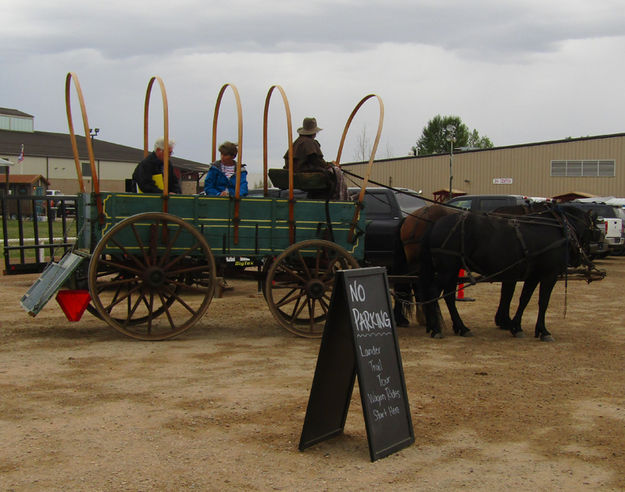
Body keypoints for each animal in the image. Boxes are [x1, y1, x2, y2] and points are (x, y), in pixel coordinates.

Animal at [400, 202, 596, 340]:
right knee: (433, 292)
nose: (583, 257)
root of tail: (434, 224)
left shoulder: (531, 275)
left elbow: (523, 299)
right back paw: (436, 329)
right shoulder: (549, 275)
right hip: (447, 269)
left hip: (451, 269)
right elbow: (542, 302)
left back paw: (459, 327)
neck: (554, 228)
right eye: (592, 227)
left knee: (446, 295)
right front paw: (542, 330)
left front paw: (515, 326)